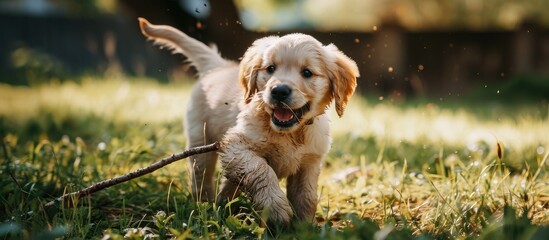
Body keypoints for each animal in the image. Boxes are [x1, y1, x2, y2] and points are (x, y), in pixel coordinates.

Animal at [139, 18, 358, 225]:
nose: (279, 91)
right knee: (201, 175)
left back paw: (223, 206)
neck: (290, 133)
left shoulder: (309, 163)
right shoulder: (235, 145)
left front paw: (304, 227)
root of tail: (219, 67)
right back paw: (205, 205)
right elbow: (261, 170)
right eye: (271, 68)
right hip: (200, 139)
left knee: (229, 183)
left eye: (307, 72)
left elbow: (306, 197)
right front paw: (275, 208)